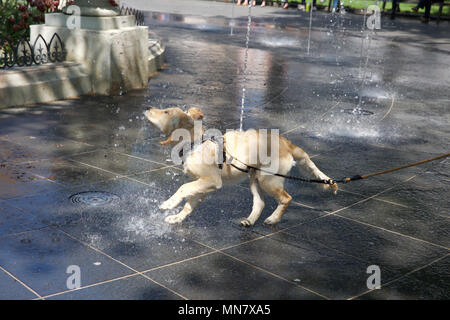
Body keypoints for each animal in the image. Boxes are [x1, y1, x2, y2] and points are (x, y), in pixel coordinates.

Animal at [144, 107, 338, 225]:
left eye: (165, 111)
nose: (147, 107)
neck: (196, 143)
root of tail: (287, 143)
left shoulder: (212, 180)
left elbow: (183, 188)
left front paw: (168, 204)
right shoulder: (203, 185)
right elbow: (189, 203)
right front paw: (177, 218)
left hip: (268, 179)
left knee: (286, 198)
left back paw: (273, 219)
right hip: (255, 178)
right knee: (260, 202)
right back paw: (250, 221)